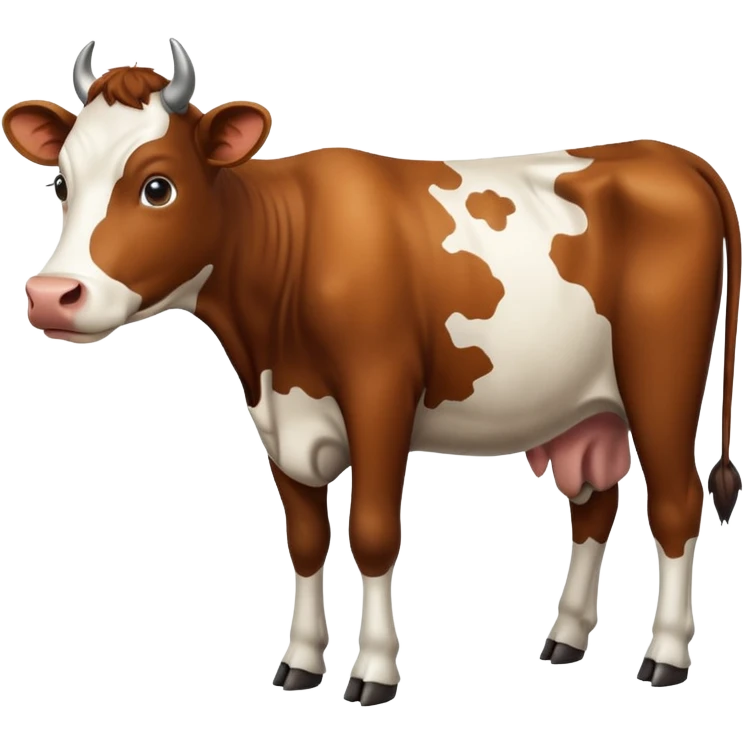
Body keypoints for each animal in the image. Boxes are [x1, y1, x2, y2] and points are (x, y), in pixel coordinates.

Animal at [3, 38, 742, 703]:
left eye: (157, 186)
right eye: (60, 182)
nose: (50, 295)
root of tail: (667, 155)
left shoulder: (380, 393)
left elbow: (374, 533)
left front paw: (375, 673)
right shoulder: (279, 417)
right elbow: (306, 540)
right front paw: (300, 665)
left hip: (662, 381)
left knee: (675, 504)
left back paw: (666, 656)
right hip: (586, 408)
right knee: (593, 504)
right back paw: (564, 639)